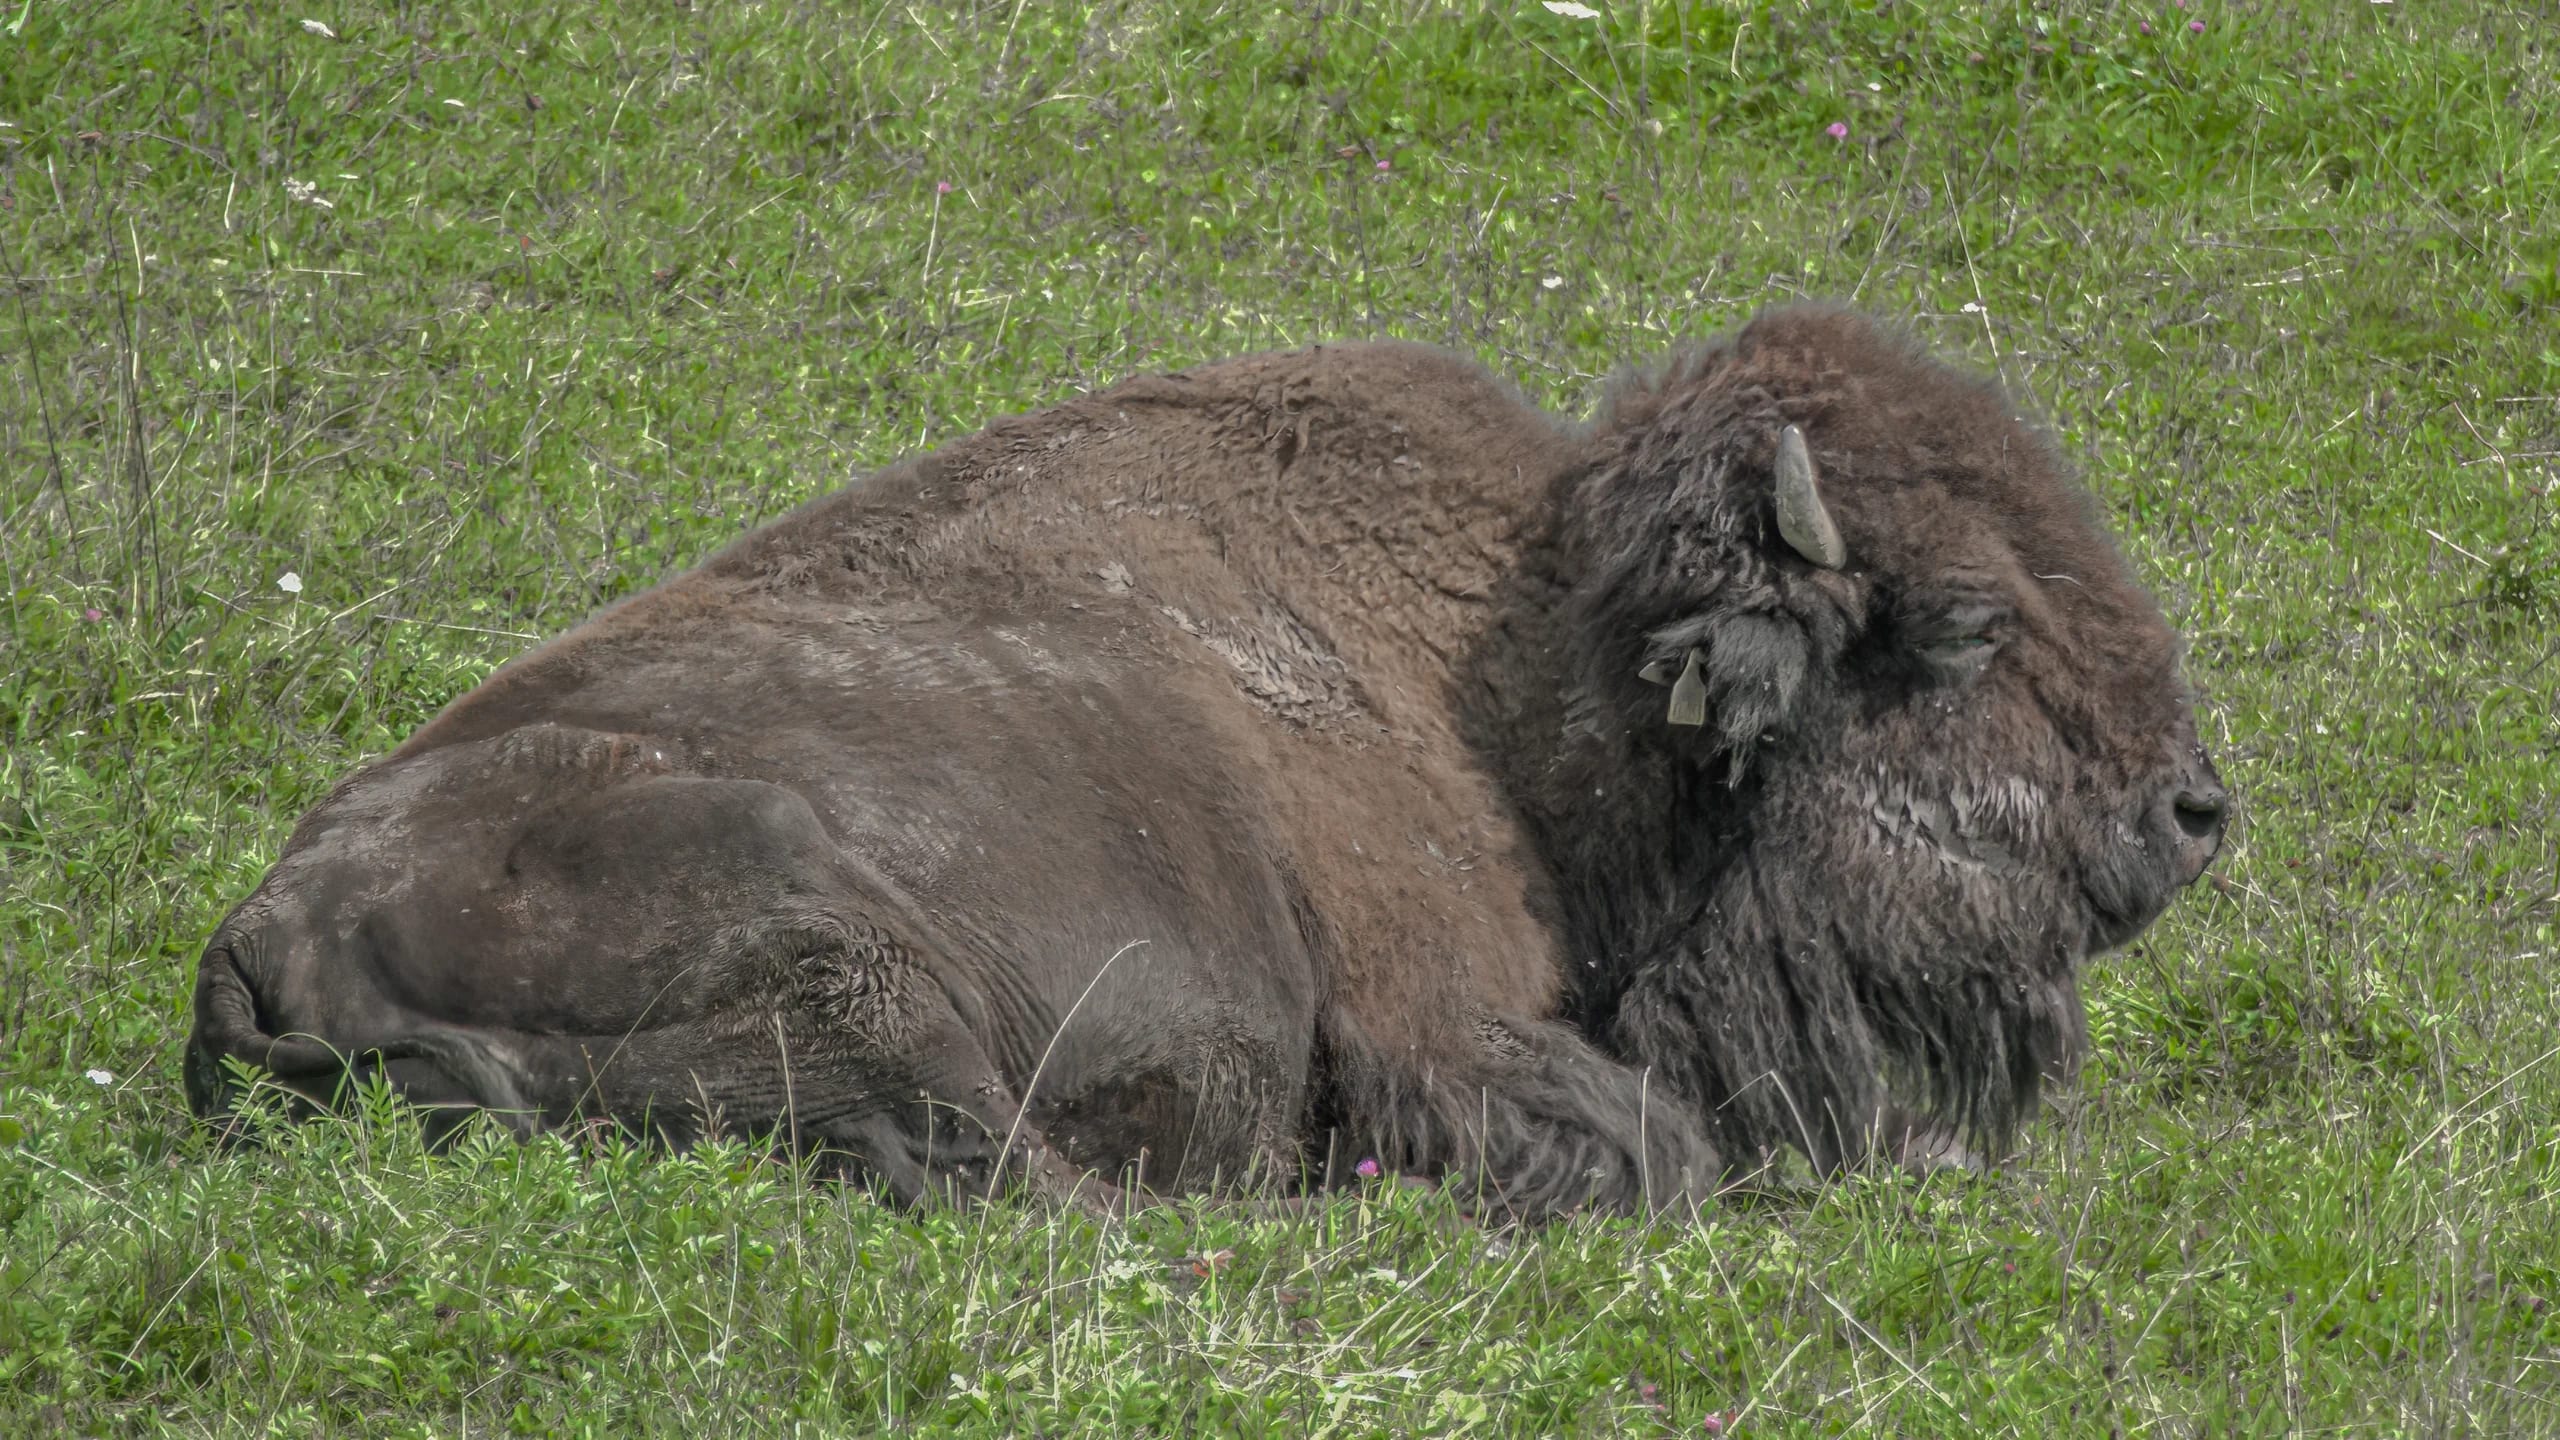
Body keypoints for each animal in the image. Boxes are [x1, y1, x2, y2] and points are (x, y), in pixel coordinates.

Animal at [187, 305, 2226, 1217]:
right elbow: (1657, 1149)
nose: (2193, 813)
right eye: (1960, 628)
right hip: (823, 933)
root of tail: (260, 934)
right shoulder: (1442, 1028)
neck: (1526, 668)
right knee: (1000, 1169)